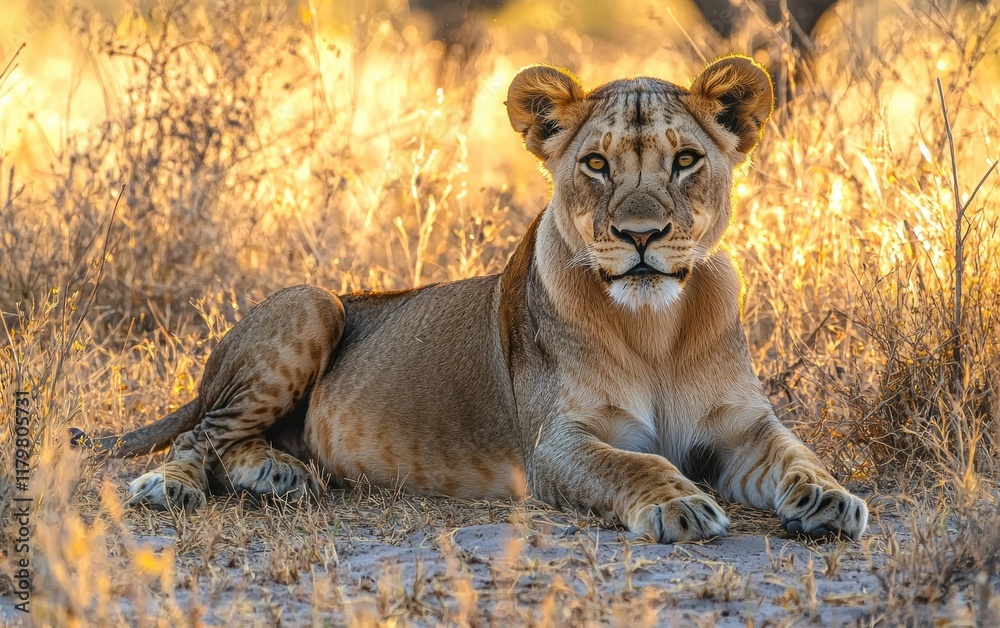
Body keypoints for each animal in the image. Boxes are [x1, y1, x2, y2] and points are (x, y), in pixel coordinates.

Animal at [72, 55, 868, 542]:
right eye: (596, 164)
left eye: (686, 160)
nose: (640, 235)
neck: (656, 329)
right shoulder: (555, 446)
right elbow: (635, 465)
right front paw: (678, 505)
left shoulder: (741, 428)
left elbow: (799, 455)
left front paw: (831, 499)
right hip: (312, 303)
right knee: (199, 435)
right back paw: (171, 486)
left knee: (233, 441)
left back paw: (278, 472)